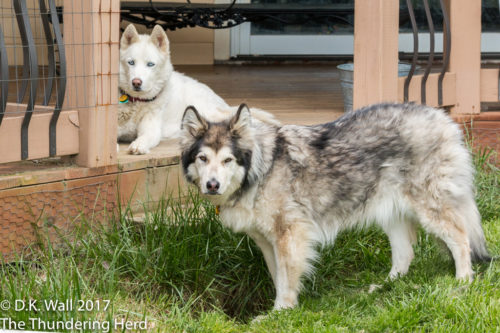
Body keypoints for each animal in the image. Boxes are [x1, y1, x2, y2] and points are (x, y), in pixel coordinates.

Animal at [120, 24, 229, 154]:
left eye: (150, 64)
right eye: (131, 62)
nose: (136, 82)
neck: (136, 101)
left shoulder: (152, 130)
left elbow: (145, 137)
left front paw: (139, 145)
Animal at [179, 102, 488, 308]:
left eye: (227, 160)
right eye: (203, 159)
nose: (212, 185)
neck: (261, 169)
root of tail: (442, 117)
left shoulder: (290, 236)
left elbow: (286, 280)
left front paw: (280, 313)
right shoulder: (267, 242)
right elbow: (278, 277)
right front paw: (281, 310)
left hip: (430, 210)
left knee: (461, 239)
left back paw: (463, 282)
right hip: (391, 216)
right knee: (405, 255)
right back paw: (383, 287)